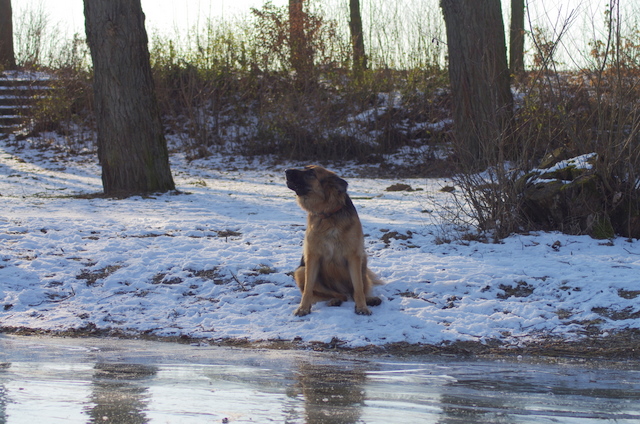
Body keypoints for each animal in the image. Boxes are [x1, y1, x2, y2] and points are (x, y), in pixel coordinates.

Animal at [288, 165, 382, 314]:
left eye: (311, 173)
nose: (286, 171)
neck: (328, 214)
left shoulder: (354, 257)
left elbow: (358, 288)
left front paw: (362, 307)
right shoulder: (312, 256)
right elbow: (308, 289)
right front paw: (303, 308)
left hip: (363, 261)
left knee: (355, 291)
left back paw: (370, 299)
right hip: (301, 271)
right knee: (334, 295)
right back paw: (334, 300)